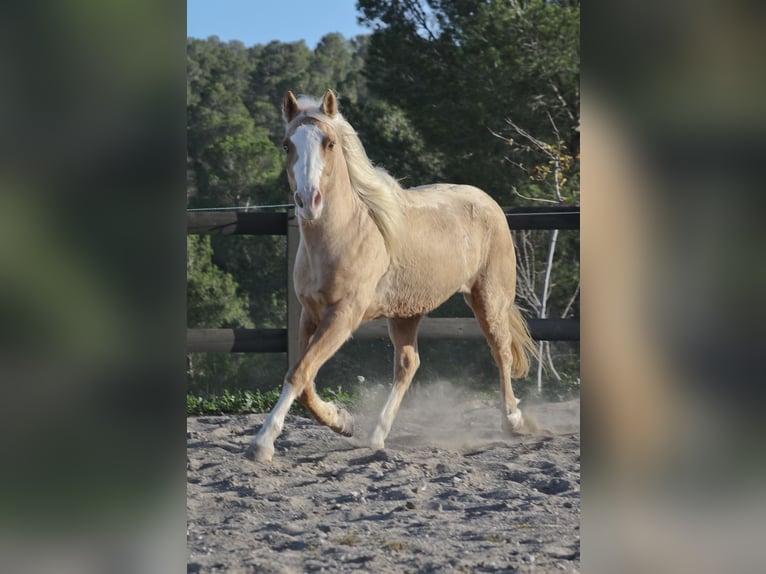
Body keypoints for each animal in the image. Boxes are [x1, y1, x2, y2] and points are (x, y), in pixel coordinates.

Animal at [249, 91, 536, 468]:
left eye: (329, 143)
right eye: (286, 145)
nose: (309, 201)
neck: (344, 234)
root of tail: (488, 201)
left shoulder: (343, 316)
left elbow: (299, 372)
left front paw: (262, 443)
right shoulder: (310, 315)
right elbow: (305, 379)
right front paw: (342, 420)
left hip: (488, 298)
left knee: (500, 351)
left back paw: (514, 421)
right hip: (406, 313)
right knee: (408, 365)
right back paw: (375, 436)